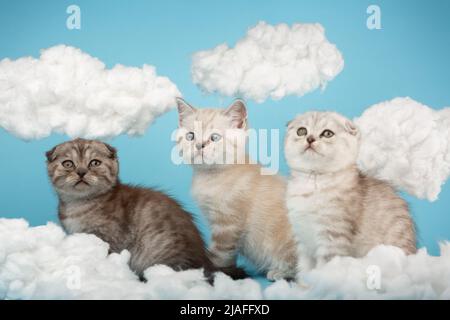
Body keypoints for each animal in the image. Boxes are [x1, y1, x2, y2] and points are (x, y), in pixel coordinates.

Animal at [45, 138, 246, 280]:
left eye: (94, 163)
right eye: (68, 163)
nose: (81, 172)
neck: (79, 204)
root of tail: (206, 262)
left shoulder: (110, 239)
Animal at [176, 97, 298, 280]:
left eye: (215, 137)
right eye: (190, 136)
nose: (199, 145)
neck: (210, 176)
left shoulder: (227, 225)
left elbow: (218, 255)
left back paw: (279, 272)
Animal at [284, 111, 416, 274]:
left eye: (327, 133)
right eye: (302, 131)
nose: (310, 139)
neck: (313, 181)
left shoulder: (332, 237)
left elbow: (324, 268)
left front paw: (317, 279)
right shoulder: (303, 239)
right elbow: (304, 268)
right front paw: (303, 281)